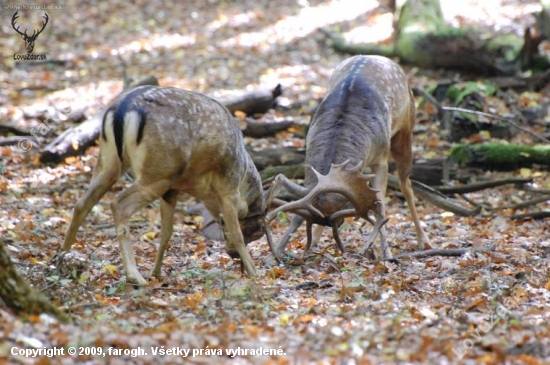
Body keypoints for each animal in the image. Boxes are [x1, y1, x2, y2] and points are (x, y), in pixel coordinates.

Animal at [62, 86, 280, 284]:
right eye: (257, 230)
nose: (233, 256)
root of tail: (122, 110)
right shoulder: (228, 186)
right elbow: (236, 233)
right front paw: (254, 273)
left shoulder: (171, 191)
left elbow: (166, 232)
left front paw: (156, 273)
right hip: (158, 171)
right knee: (118, 204)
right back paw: (134, 276)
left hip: (109, 161)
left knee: (81, 204)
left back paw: (63, 257)